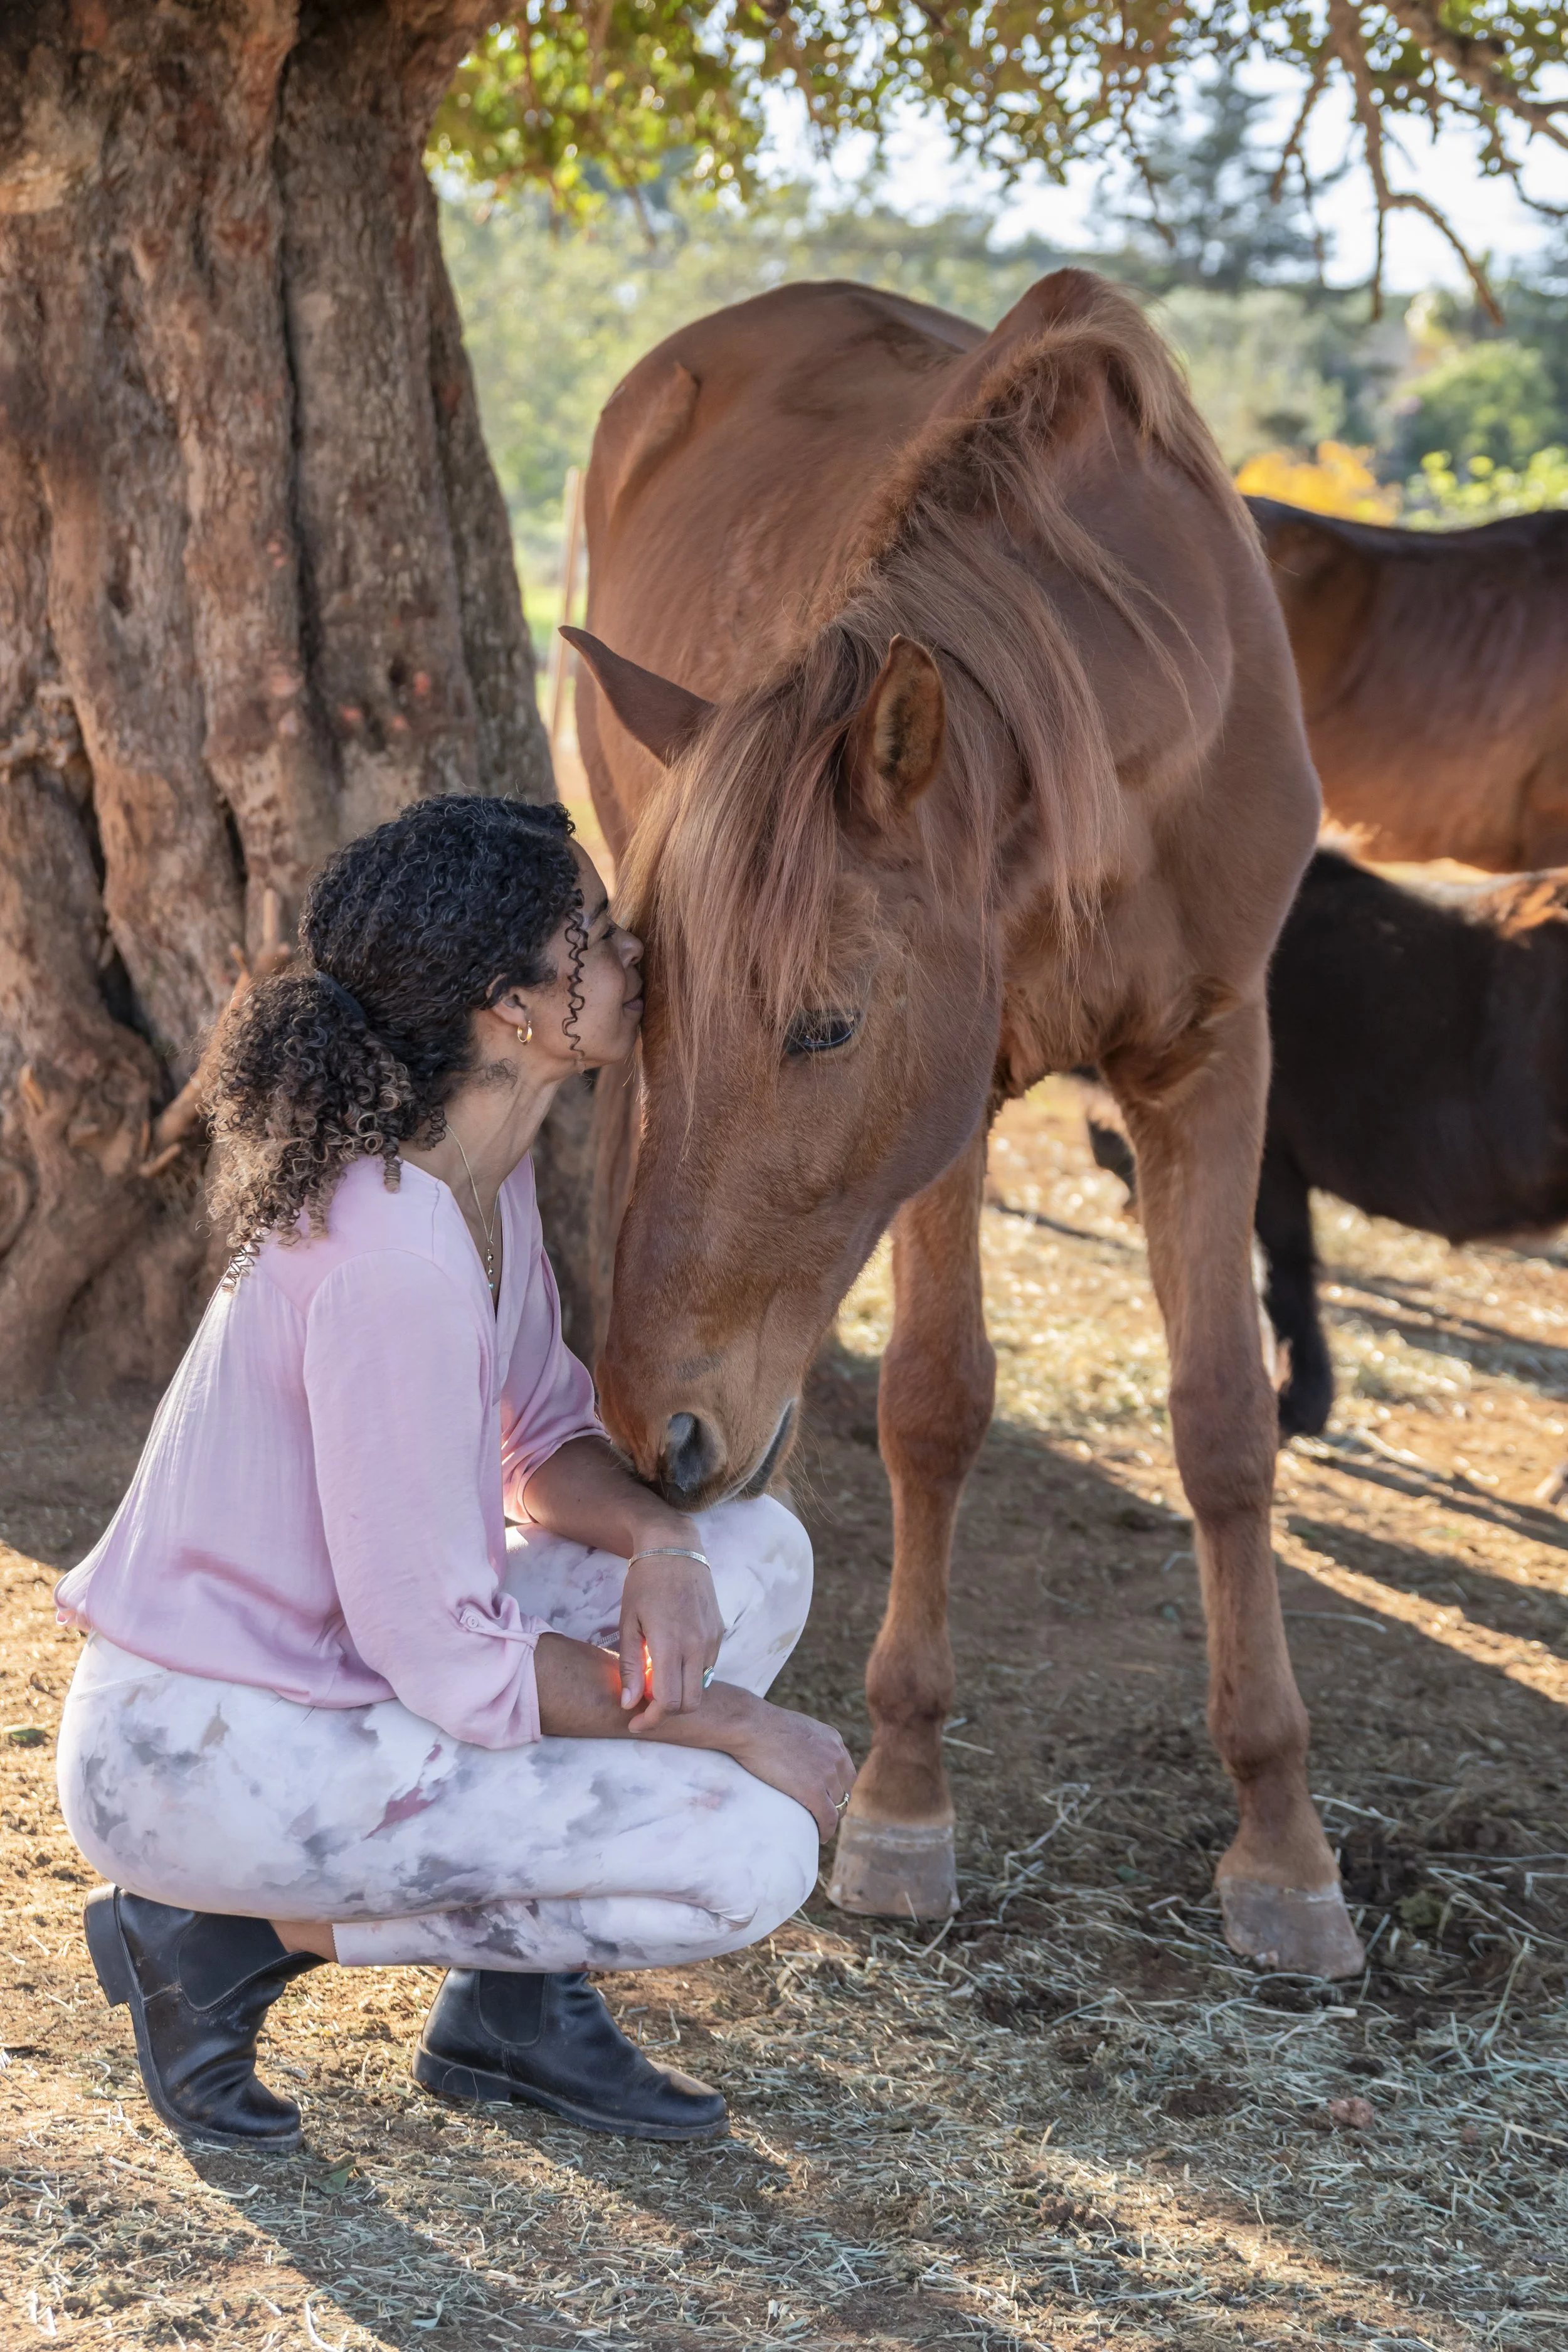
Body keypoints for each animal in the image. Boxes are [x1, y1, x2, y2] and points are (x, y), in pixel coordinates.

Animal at [566, 268, 1364, 1980]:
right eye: (652, 1009)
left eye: (826, 1024)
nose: (661, 1433)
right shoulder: (963, 1095)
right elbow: (934, 1404)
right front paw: (902, 1803)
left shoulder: (1216, 1060)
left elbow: (1225, 1425)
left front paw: (1281, 1841)